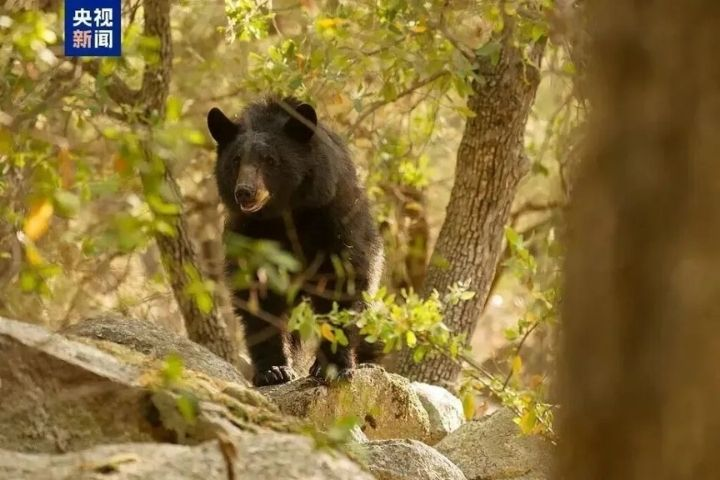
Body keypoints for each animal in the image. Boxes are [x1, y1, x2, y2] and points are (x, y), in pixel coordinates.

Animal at [207, 96, 384, 387]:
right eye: (235, 160)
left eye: (270, 160)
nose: (244, 192)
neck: (286, 212)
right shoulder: (250, 233)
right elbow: (258, 292)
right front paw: (273, 370)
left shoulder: (334, 217)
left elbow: (342, 281)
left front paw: (332, 367)